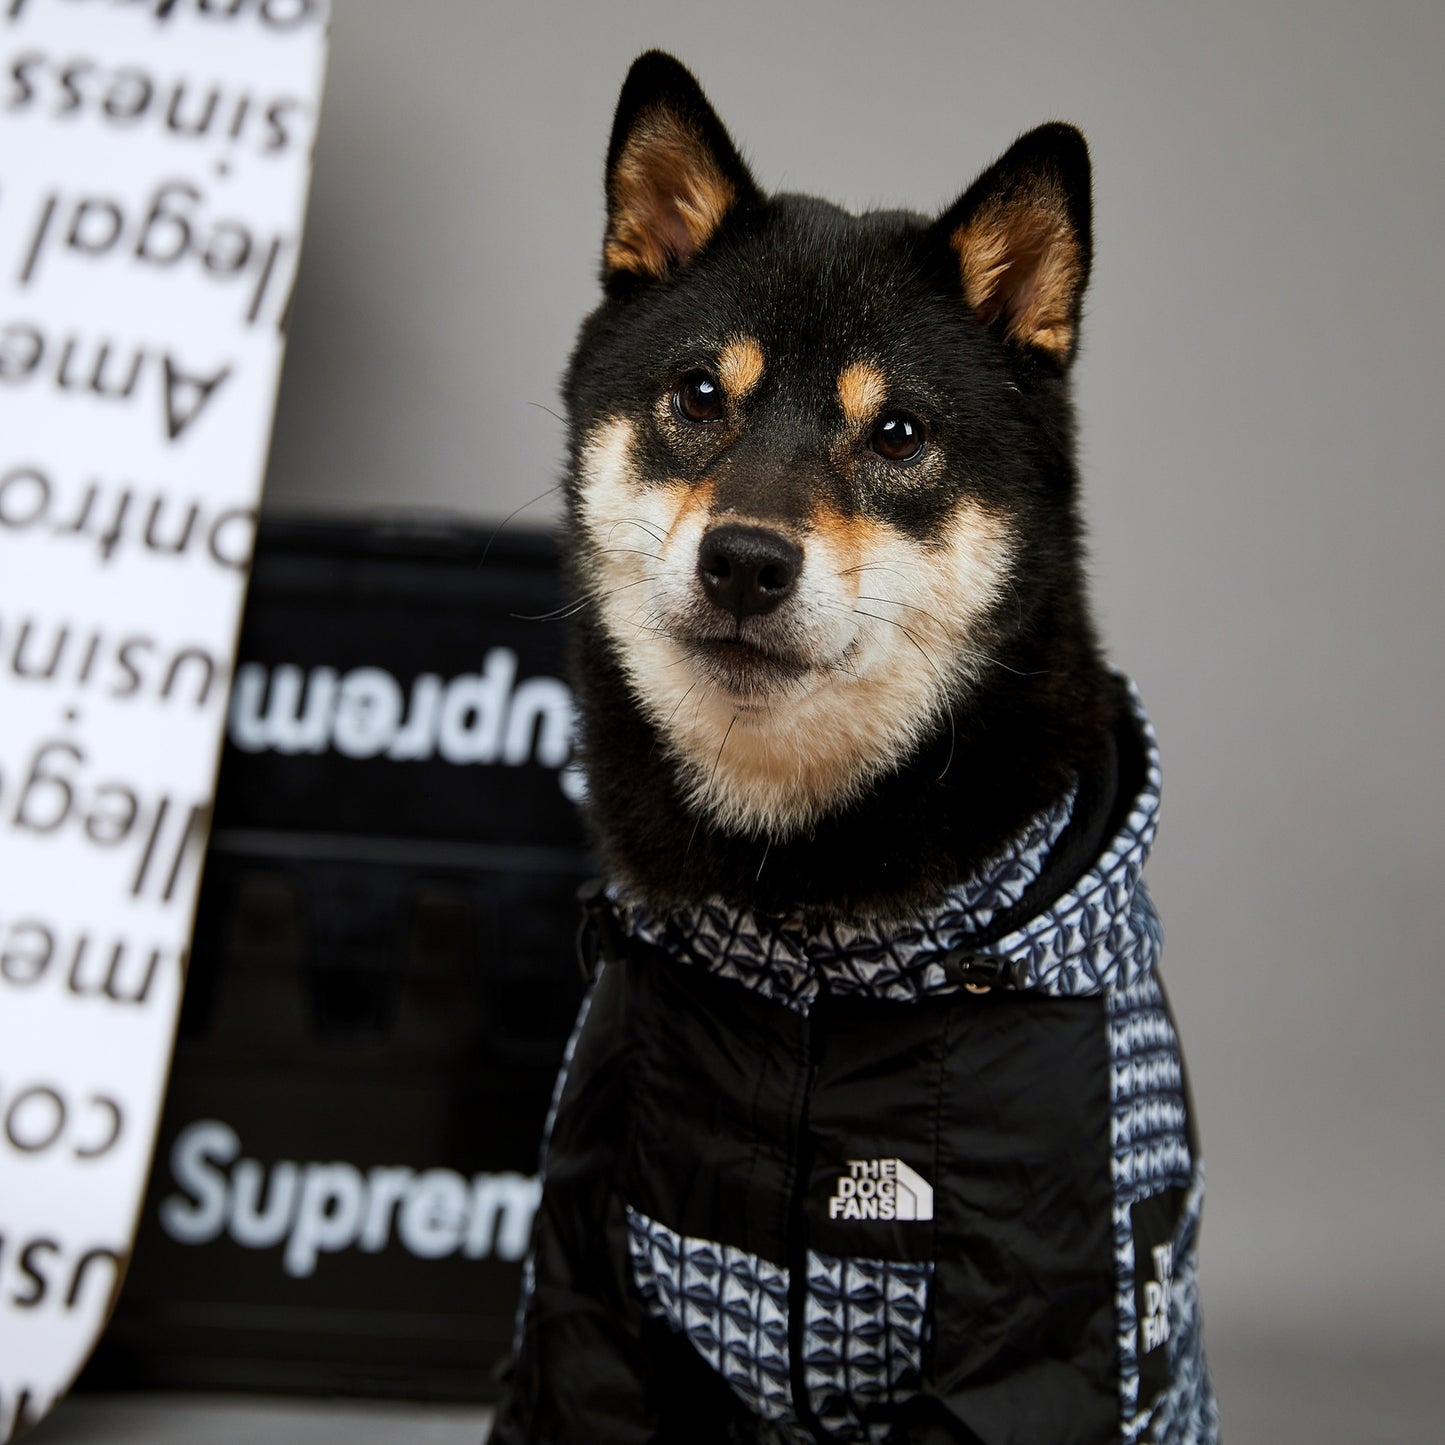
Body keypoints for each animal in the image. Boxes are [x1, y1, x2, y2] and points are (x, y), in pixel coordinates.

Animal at [488, 50, 1219, 1439]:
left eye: (897, 435)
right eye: (697, 394)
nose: (744, 560)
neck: (797, 920)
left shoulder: (1041, 1318)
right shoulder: (585, 1272)